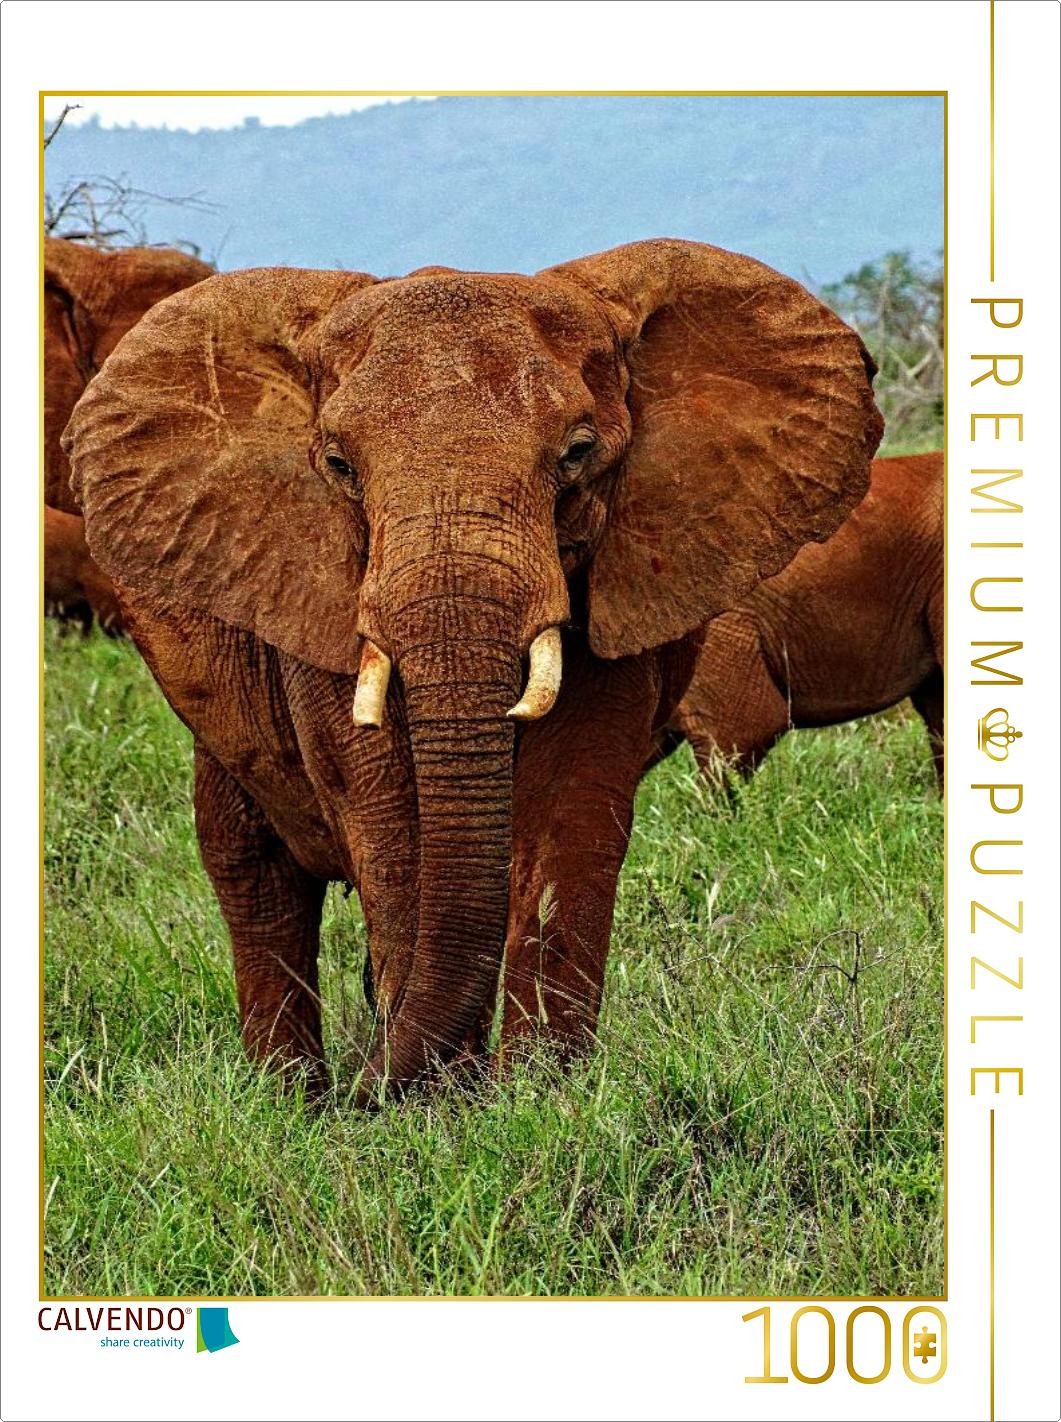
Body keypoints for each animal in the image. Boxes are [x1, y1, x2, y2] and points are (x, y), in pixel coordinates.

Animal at [64, 238, 883, 1100]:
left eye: (577, 453)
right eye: (338, 465)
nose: (369, 1087)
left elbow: (570, 799)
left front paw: (541, 1093)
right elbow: (388, 815)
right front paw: (435, 1107)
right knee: (250, 866)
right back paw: (291, 1098)